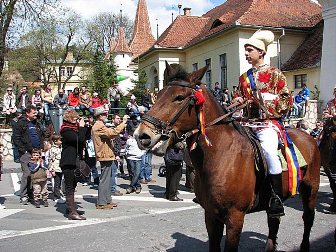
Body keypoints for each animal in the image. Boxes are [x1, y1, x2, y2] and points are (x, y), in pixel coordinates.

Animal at [135, 62, 322, 250]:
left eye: (179, 97)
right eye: (158, 95)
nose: (142, 135)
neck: (221, 156)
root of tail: (308, 137)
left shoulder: (235, 217)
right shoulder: (211, 215)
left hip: (310, 189)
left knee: (308, 218)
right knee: (273, 222)